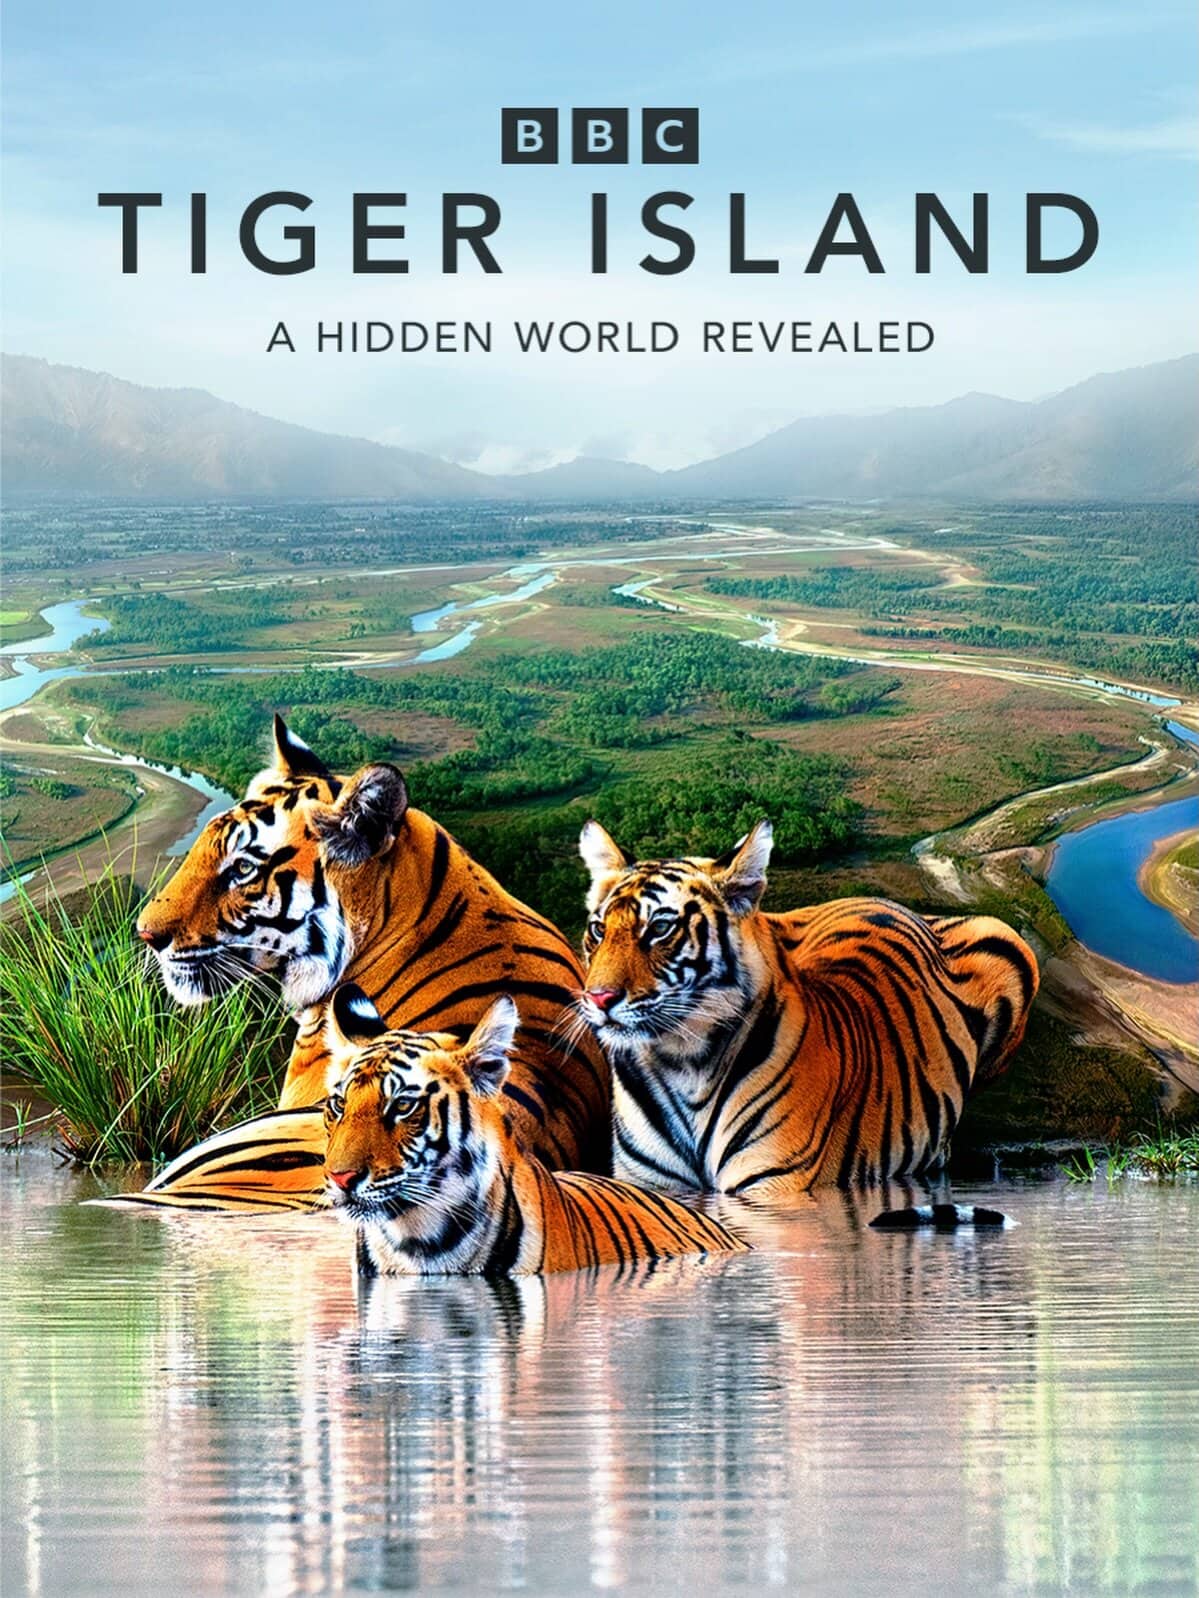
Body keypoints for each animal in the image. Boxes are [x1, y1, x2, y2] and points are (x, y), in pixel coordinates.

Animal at [576, 817, 1039, 1197]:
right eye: (598, 930)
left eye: (659, 928)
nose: (597, 998)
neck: (681, 1062)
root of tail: (878, 899)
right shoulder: (649, 1186)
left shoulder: (772, 1181)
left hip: (1005, 938)